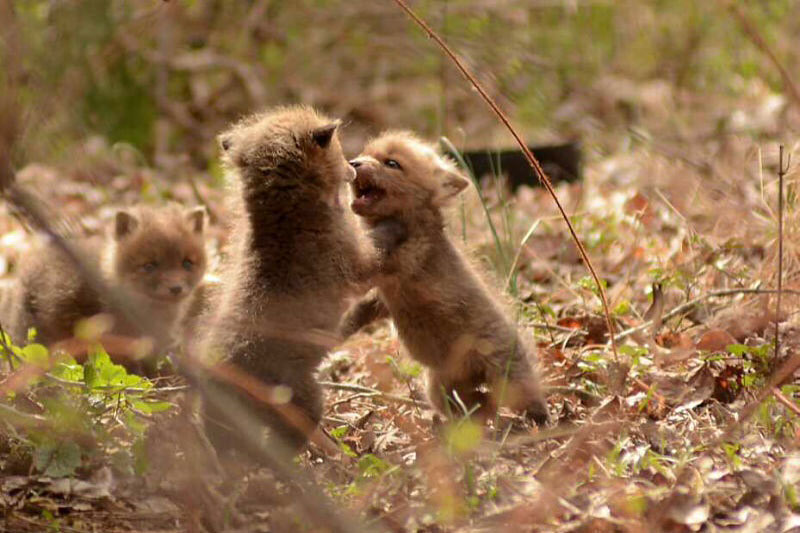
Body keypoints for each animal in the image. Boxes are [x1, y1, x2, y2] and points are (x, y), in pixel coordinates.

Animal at [340, 131, 549, 425]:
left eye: (392, 163)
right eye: (364, 155)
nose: (354, 163)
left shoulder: (391, 263)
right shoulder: (380, 298)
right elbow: (355, 315)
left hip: (509, 382)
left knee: (526, 397)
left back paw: (544, 421)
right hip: (439, 387)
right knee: (476, 404)